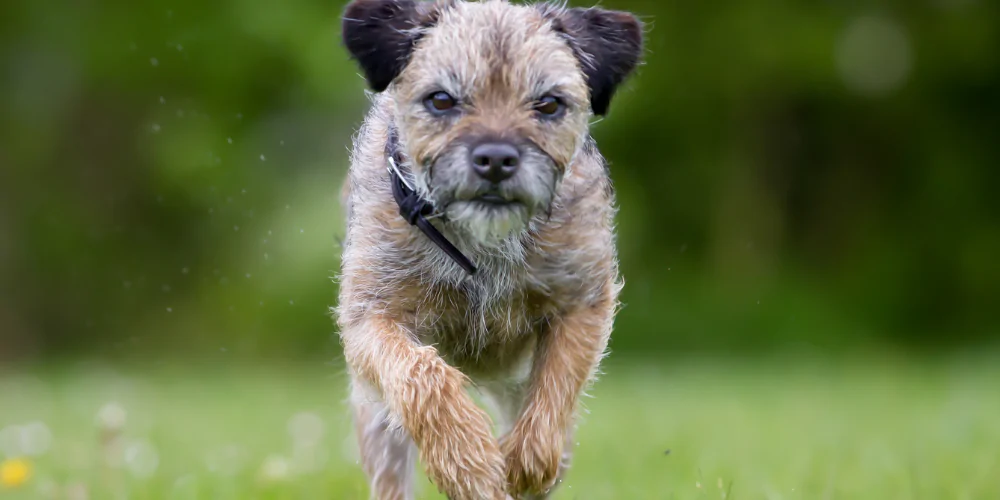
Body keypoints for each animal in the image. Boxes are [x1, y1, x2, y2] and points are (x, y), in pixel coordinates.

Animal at [334, 1, 640, 498]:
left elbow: (557, 388)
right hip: (376, 418)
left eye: (548, 104)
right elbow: (421, 374)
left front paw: (525, 465)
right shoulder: (371, 317)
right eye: (441, 100)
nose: (496, 158)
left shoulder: (583, 302)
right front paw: (467, 460)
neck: (484, 242)